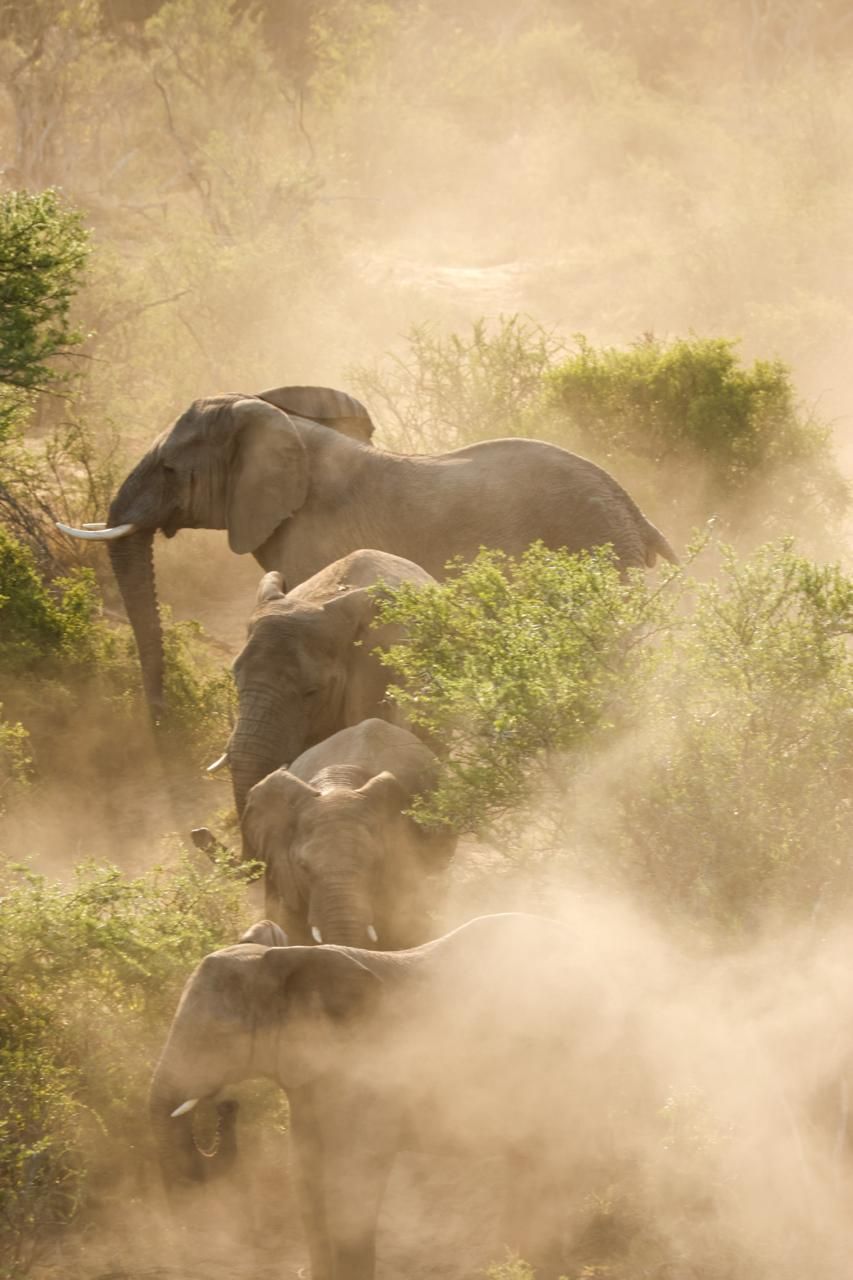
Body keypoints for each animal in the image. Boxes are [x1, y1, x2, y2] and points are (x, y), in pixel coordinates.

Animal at [58, 385, 677, 719]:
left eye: (168, 469)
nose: (161, 715)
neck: (285, 426)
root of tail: (635, 509)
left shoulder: (313, 539)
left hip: (596, 545)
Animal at [150, 912, 661, 1280]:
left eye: (215, 1036)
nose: (225, 1105)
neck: (292, 957)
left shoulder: (368, 1077)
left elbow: (353, 1178)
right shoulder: (312, 1081)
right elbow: (306, 1174)